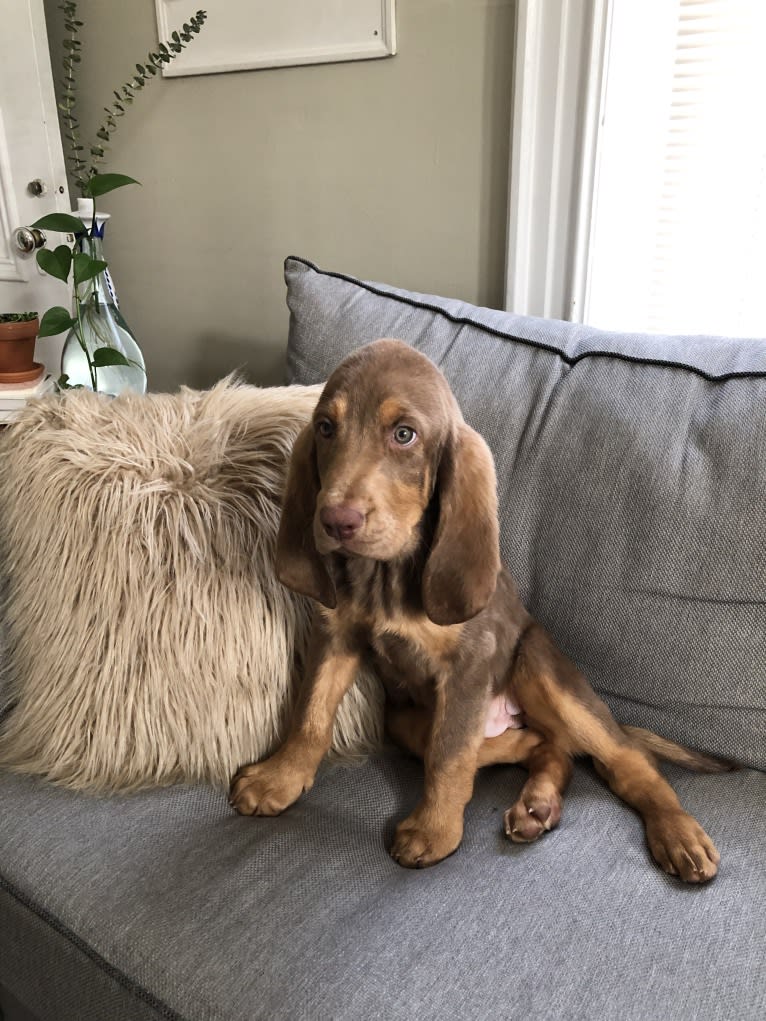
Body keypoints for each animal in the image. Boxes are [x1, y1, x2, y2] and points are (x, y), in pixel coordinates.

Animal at [229, 338, 731, 882]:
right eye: (325, 428)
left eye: (404, 434)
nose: (336, 521)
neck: (386, 576)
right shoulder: (336, 636)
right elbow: (311, 715)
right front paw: (280, 778)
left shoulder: (468, 666)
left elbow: (449, 759)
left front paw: (433, 831)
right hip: (408, 721)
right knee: (544, 745)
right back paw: (536, 806)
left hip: (538, 666)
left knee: (624, 758)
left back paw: (676, 832)